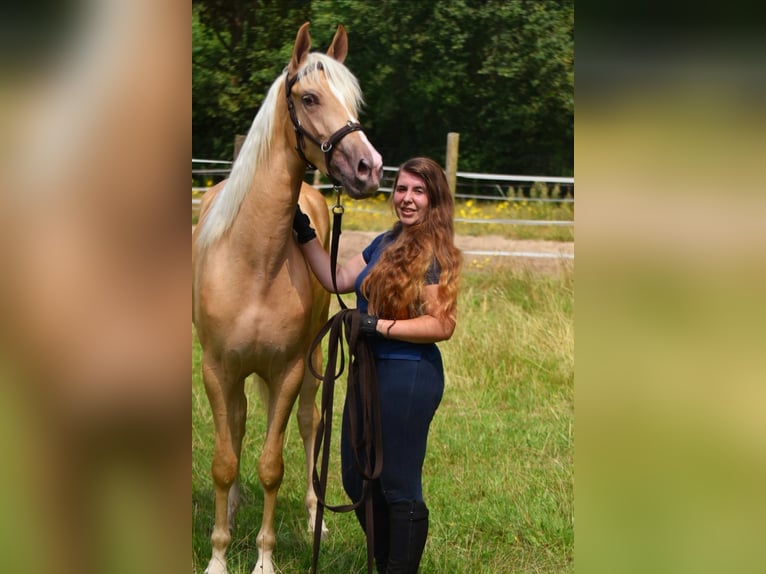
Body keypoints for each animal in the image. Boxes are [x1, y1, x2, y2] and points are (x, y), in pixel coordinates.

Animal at [192, 22, 384, 574]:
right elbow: (224, 459)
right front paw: (218, 555)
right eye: (310, 97)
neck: (255, 262)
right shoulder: (216, 368)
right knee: (235, 426)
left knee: (309, 424)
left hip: (316, 366)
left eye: (353, 99)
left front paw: (263, 558)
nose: (369, 166)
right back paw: (234, 507)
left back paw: (316, 514)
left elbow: (272, 465)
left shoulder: (290, 371)